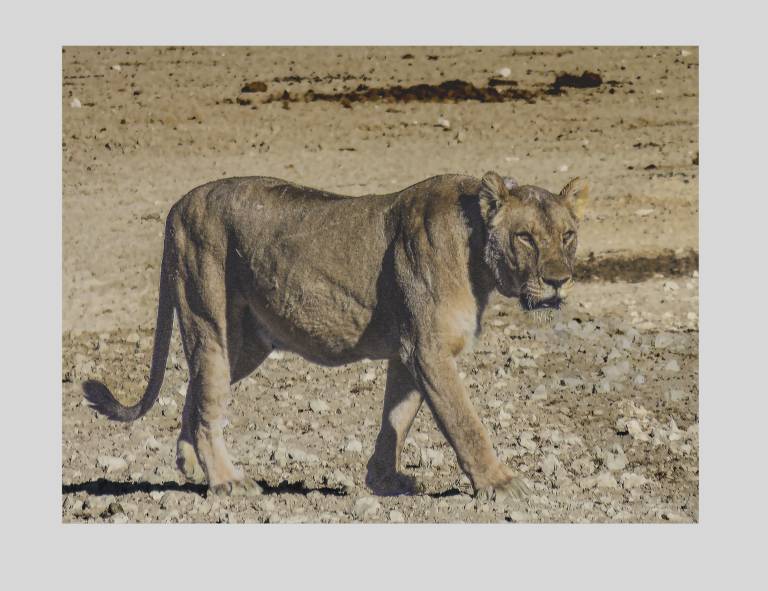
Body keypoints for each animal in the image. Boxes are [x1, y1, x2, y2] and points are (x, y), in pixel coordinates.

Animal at [82, 171, 588, 500]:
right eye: (525, 237)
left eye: (568, 235)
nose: (559, 281)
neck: (477, 256)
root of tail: (179, 204)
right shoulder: (427, 349)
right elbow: (465, 421)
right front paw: (500, 483)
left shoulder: (408, 350)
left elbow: (397, 417)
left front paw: (384, 481)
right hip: (210, 323)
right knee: (207, 404)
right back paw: (227, 482)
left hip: (245, 345)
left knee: (196, 391)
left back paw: (191, 464)